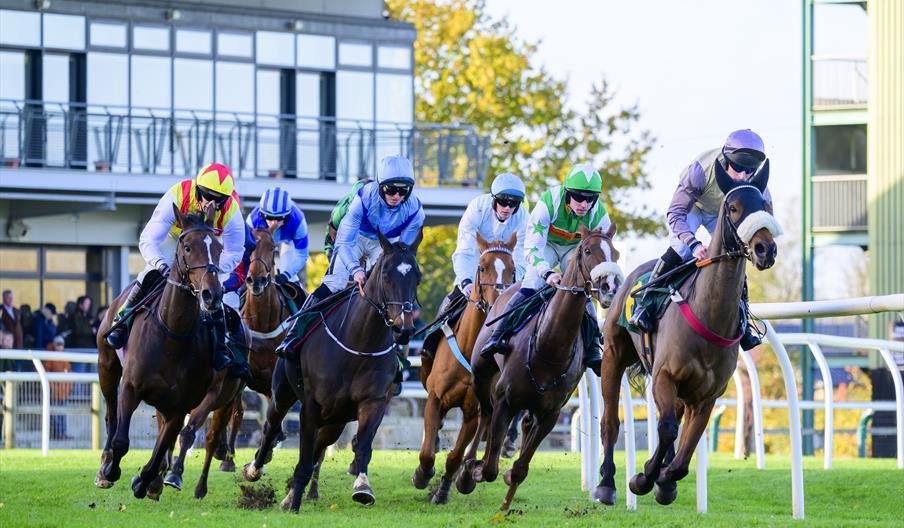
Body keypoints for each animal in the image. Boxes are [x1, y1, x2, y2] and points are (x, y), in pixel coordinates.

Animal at [92, 205, 230, 500]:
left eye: (219, 248)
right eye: (187, 247)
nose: (212, 294)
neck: (172, 335)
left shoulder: (181, 404)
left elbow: (162, 448)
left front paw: (144, 481)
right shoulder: (131, 387)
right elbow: (121, 440)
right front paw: (112, 470)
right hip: (106, 365)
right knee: (110, 415)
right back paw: (104, 466)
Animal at [242, 231, 422, 512]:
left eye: (417, 277)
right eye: (386, 275)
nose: (403, 328)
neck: (358, 344)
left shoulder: (373, 402)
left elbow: (363, 445)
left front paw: (363, 487)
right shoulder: (310, 406)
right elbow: (303, 456)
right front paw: (294, 504)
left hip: (335, 420)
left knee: (319, 446)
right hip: (282, 394)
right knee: (270, 427)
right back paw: (254, 469)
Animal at [414, 231, 520, 504]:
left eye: (513, 269)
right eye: (482, 267)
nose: (498, 302)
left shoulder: (473, 410)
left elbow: (455, 456)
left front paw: (443, 490)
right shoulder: (435, 397)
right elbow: (427, 452)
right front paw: (422, 474)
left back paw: (467, 475)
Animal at [466, 224, 620, 512]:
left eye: (614, 253)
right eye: (587, 250)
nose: (609, 287)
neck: (550, 346)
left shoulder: (551, 412)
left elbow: (519, 469)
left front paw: (506, 498)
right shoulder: (505, 399)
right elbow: (490, 466)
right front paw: (476, 470)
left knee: (522, 425)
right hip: (481, 373)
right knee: (485, 413)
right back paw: (466, 467)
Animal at [592, 162, 776, 508]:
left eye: (766, 207)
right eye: (733, 207)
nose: (765, 249)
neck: (709, 314)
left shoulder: (708, 395)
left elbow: (685, 450)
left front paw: (665, 480)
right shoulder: (664, 376)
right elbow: (665, 428)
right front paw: (642, 478)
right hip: (612, 356)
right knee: (610, 421)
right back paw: (606, 484)